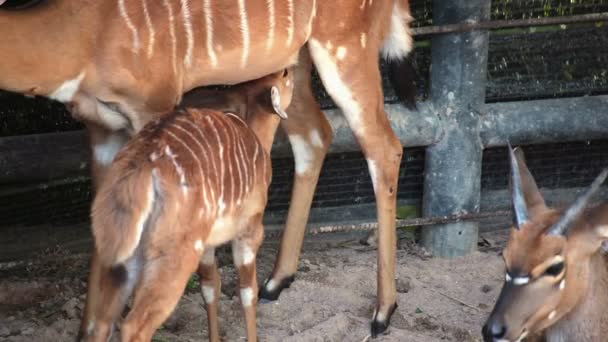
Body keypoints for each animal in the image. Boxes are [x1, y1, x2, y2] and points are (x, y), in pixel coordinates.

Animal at [80, 67, 294, 342]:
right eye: (285, 76)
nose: (291, 69)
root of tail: (140, 164)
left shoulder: (207, 246)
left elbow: (210, 287)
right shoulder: (249, 229)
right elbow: (248, 291)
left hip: (122, 257)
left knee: (102, 324)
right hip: (174, 255)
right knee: (133, 325)